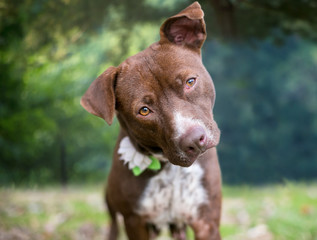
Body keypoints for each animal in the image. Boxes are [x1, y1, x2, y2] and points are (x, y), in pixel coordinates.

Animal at [80, 2, 221, 240]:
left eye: (190, 82)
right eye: (144, 111)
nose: (194, 140)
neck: (169, 168)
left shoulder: (206, 220)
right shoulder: (135, 222)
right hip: (112, 206)